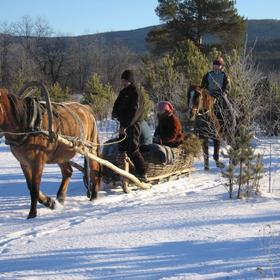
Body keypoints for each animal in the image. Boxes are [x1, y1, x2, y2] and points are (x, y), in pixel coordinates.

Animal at [0, 88, 101, 219]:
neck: (28, 125)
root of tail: (86, 109)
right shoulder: (24, 163)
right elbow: (30, 186)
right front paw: (50, 202)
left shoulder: (38, 162)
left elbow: (35, 188)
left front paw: (32, 214)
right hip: (62, 153)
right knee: (68, 171)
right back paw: (60, 198)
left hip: (89, 147)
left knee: (94, 168)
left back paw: (94, 195)